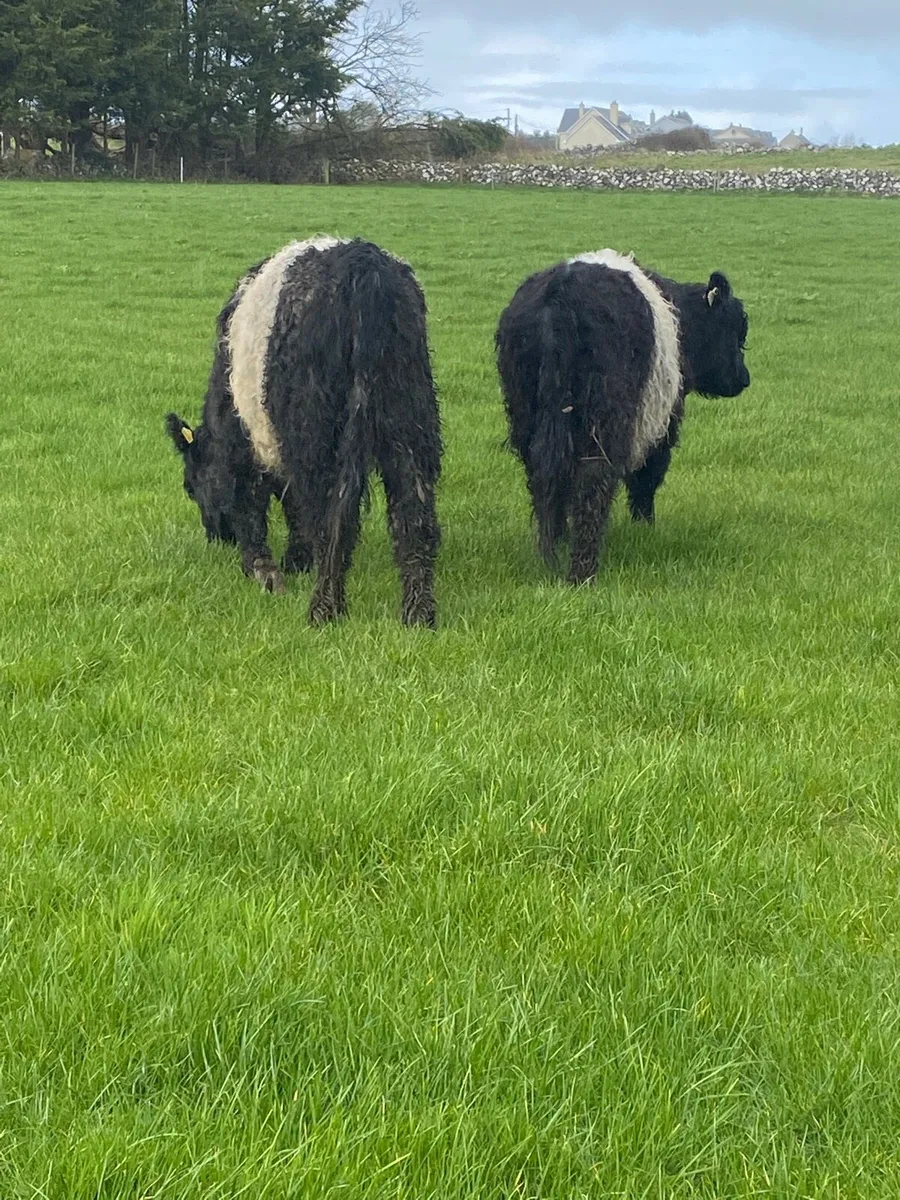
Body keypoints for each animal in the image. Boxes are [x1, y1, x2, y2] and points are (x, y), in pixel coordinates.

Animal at [166, 236, 442, 627]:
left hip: (316, 437)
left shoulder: (246, 445)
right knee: (414, 513)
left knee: (331, 519)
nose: (217, 536)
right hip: (410, 420)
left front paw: (264, 568)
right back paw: (418, 614)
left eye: (190, 486)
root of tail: (365, 267)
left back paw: (324, 610)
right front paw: (294, 559)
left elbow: (254, 503)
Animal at [495, 249, 750, 583]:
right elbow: (647, 479)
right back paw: (583, 572)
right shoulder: (663, 426)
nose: (744, 378)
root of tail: (560, 296)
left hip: (528, 415)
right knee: (592, 482)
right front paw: (645, 528)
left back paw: (553, 552)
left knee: (545, 478)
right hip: (603, 421)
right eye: (735, 331)